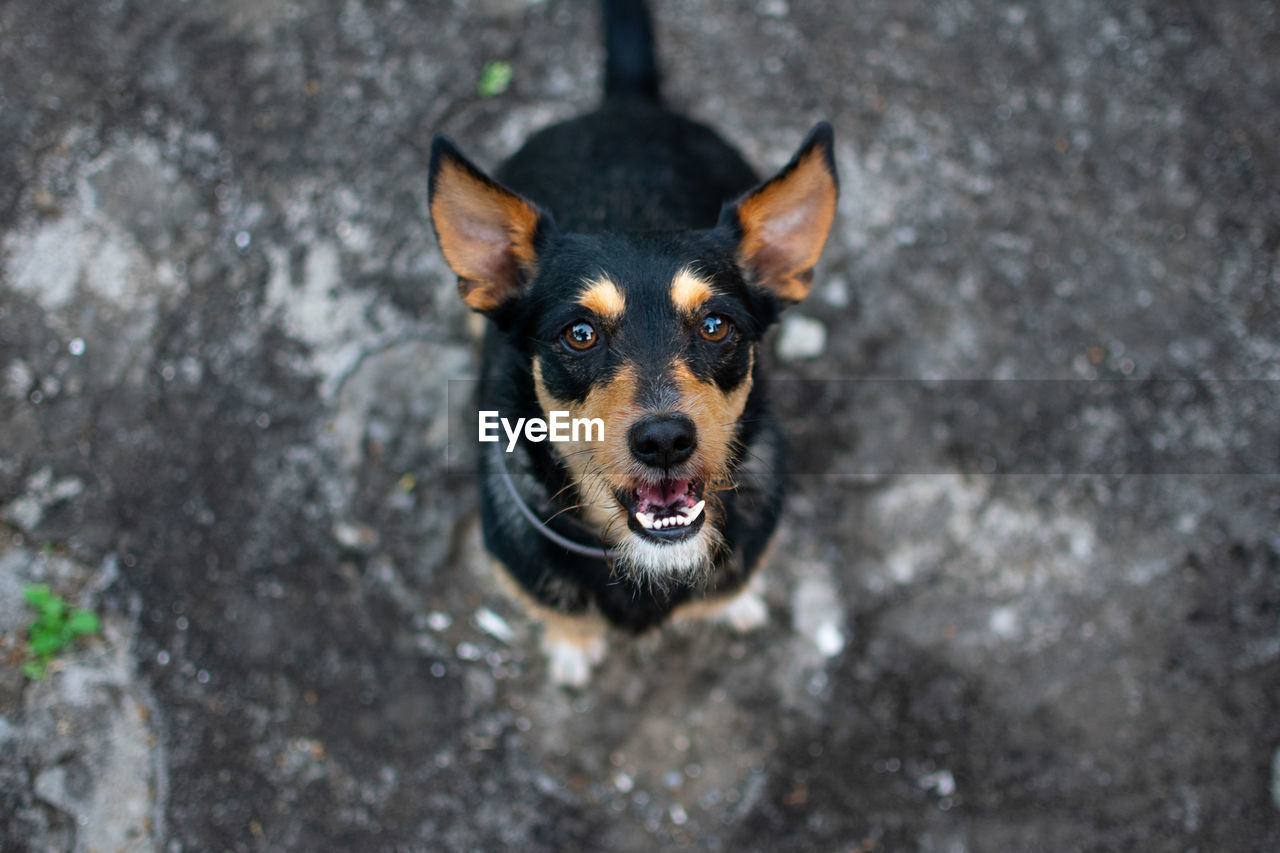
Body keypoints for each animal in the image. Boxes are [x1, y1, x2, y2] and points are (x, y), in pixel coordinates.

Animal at [424, 0, 834, 681]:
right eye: (579, 334)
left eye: (716, 325)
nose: (664, 440)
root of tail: (626, 103)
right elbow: (562, 618)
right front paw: (570, 650)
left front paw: (738, 604)